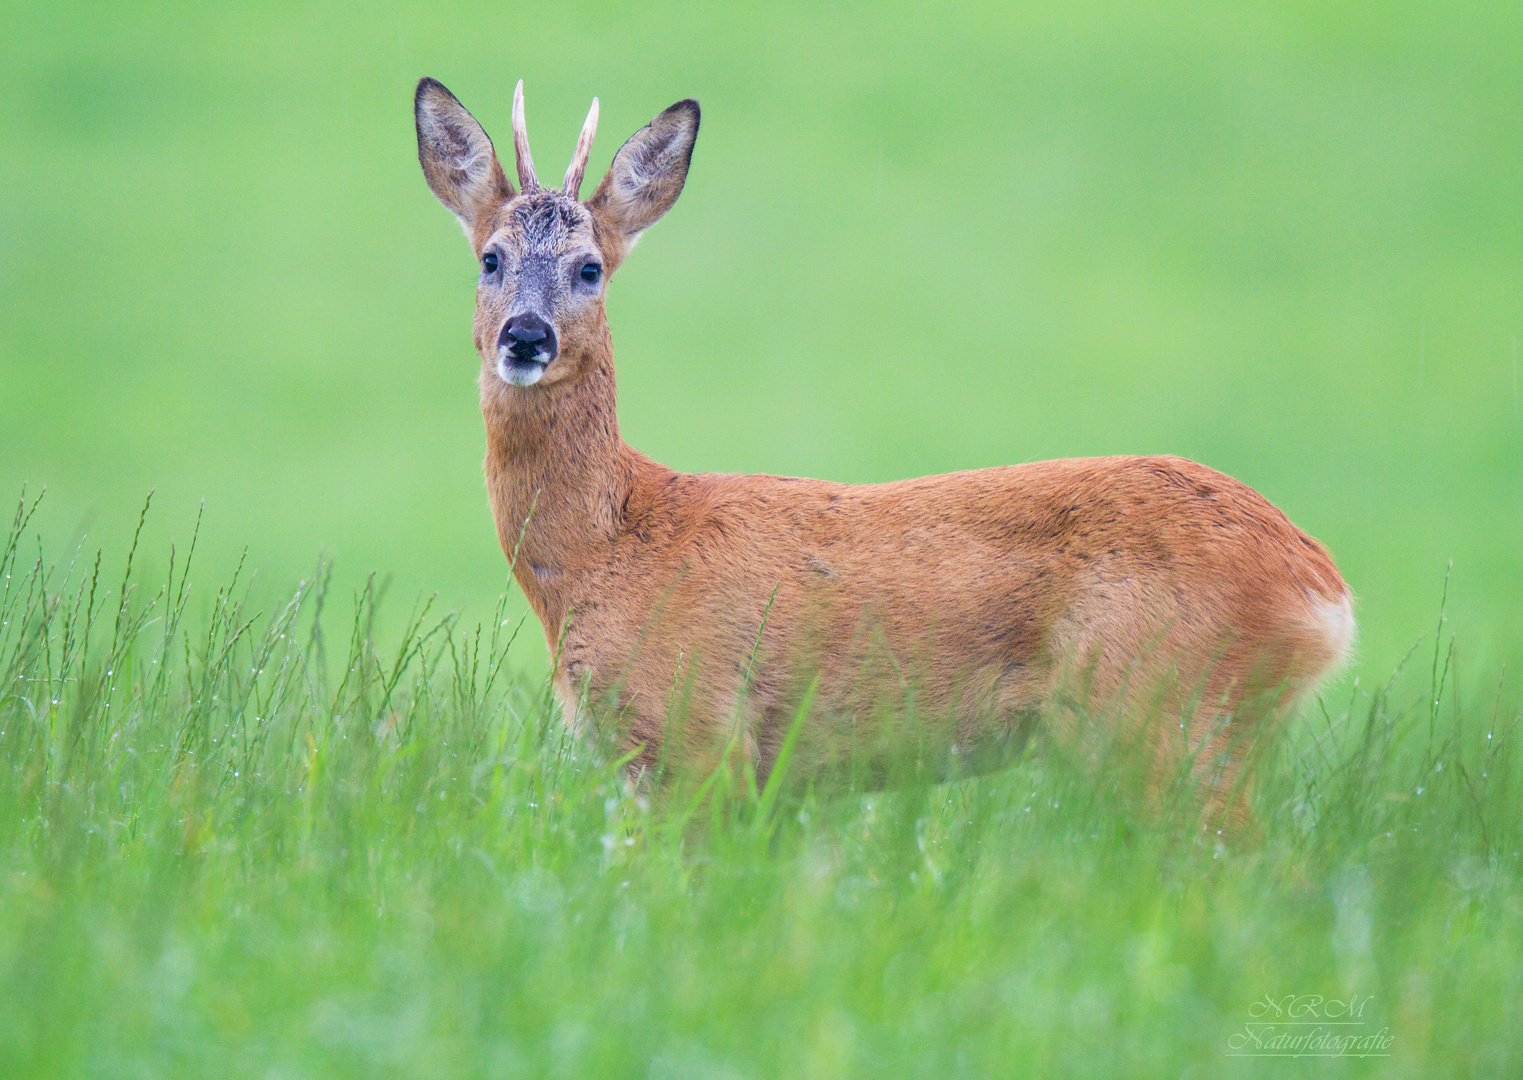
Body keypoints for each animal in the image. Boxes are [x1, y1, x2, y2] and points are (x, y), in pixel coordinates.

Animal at [411, 75, 1352, 810]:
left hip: (1164, 711)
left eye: (590, 268)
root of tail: (1323, 592)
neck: (611, 546)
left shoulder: (702, 736)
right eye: (490, 258)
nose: (526, 337)